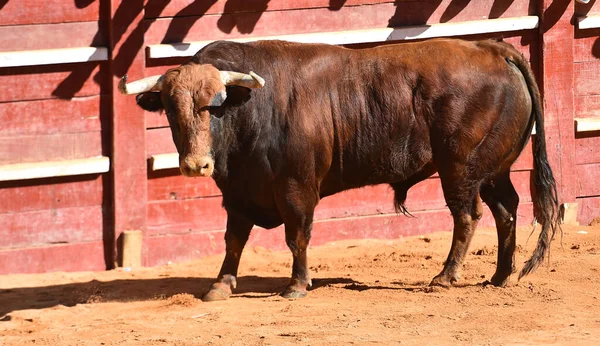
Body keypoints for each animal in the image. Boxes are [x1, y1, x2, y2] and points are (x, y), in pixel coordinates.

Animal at [119, 37, 560, 300]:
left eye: (215, 106)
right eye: (171, 111)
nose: (197, 165)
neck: (251, 110)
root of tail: (492, 48)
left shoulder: (297, 188)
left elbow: (297, 236)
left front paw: (297, 285)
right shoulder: (238, 193)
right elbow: (234, 240)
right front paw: (221, 285)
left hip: (460, 170)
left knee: (467, 216)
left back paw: (445, 277)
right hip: (493, 170)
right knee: (506, 210)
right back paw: (501, 276)